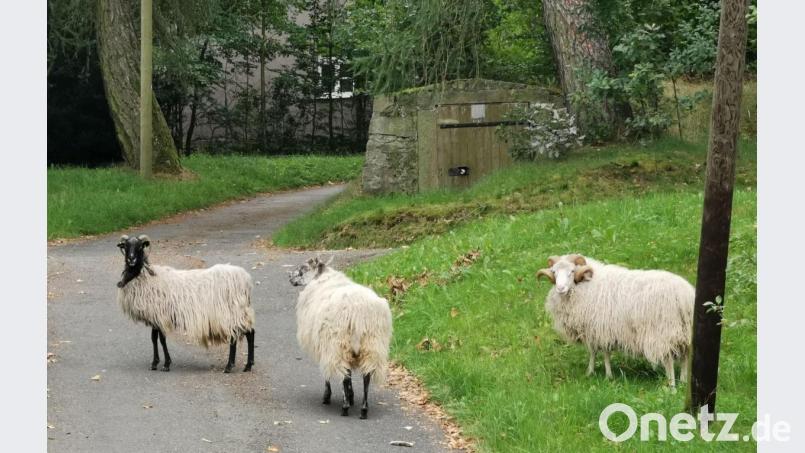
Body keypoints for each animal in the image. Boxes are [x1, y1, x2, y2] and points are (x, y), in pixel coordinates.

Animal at [116, 234, 256, 373]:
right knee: (248, 333)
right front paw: (155, 363)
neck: (145, 276)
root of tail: (245, 279)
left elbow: (161, 339)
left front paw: (166, 364)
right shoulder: (154, 317)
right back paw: (247, 365)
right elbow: (154, 339)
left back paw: (230, 366)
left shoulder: (160, 315)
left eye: (140, 247)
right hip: (238, 312)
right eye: (126, 246)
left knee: (239, 335)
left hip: (231, 312)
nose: (131, 259)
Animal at [289, 256, 392, 419]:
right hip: (372, 345)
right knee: (366, 376)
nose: (289, 277)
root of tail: (358, 313)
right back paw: (363, 409)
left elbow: (328, 375)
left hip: (338, 345)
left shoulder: (324, 346)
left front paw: (329, 396)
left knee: (344, 375)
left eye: (303, 268)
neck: (322, 278)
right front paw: (351, 396)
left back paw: (345, 407)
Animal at [536, 254, 694, 386]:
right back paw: (683, 381)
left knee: (669, 360)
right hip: (684, 331)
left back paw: (671, 386)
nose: (560, 288)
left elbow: (601, 352)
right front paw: (592, 372)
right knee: (685, 356)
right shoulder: (598, 330)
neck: (587, 284)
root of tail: (684, 296)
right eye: (554, 272)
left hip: (663, 332)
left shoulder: (599, 328)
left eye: (572, 271)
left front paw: (604, 374)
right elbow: (595, 352)